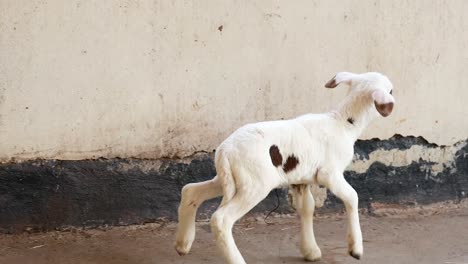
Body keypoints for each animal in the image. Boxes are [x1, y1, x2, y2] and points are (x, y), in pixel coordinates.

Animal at [176, 71, 394, 262]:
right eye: (390, 90)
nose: (394, 99)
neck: (343, 123)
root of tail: (224, 151)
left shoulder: (301, 179)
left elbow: (307, 208)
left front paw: (311, 252)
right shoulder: (329, 173)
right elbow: (352, 196)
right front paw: (355, 249)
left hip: (230, 178)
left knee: (191, 190)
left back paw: (182, 245)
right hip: (254, 183)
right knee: (221, 219)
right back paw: (235, 259)